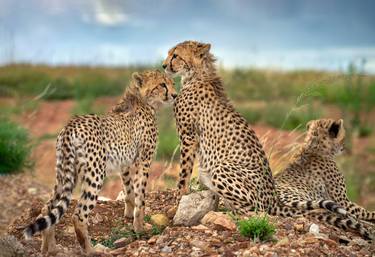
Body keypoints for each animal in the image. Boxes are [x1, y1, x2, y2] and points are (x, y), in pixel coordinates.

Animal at [22, 69, 177, 252]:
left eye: (172, 83)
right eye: (162, 84)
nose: (174, 94)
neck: (142, 100)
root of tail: (70, 125)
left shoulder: (125, 163)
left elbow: (129, 189)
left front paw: (128, 214)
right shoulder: (144, 160)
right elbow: (140, 195)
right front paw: (139, 228)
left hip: (64, 173)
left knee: (47, 207)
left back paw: (49, 248)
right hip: (95, 174)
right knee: (79, 215)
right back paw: (90, 250)